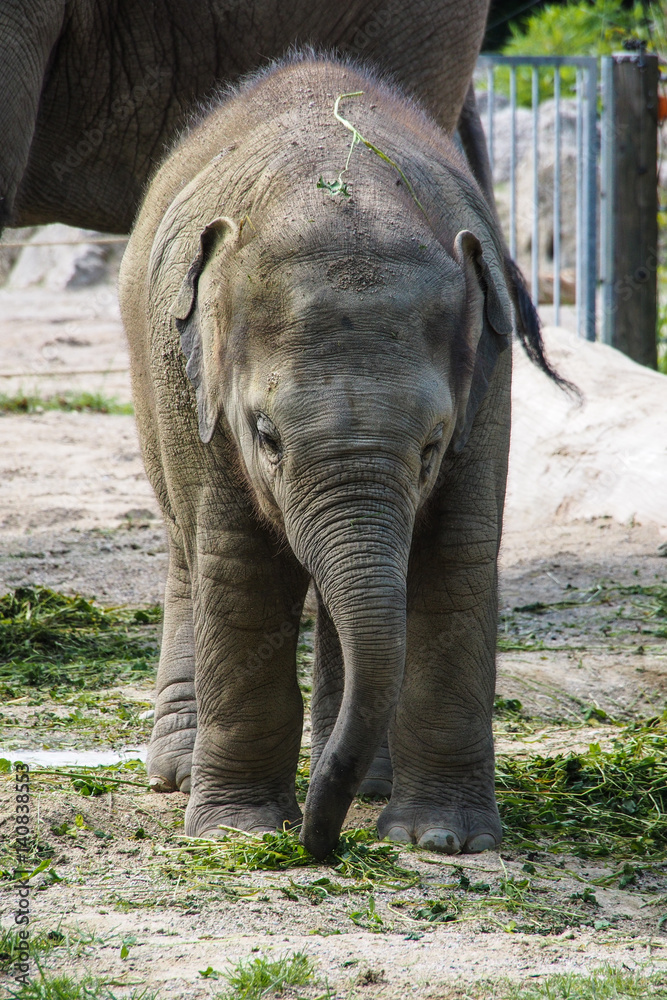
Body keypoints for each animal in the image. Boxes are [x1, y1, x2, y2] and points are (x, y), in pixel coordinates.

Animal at [119, 52, 558, 861]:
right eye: (265, 437)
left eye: (432, 445)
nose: (321, 845)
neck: (339, 192)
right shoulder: (206, 404)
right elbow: (239, 569)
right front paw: (240, 833)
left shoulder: (491, 382)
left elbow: (456, 559)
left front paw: (441, 839)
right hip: (154, 385)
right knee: (188, 552)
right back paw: (181, 773)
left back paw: (368, 784)